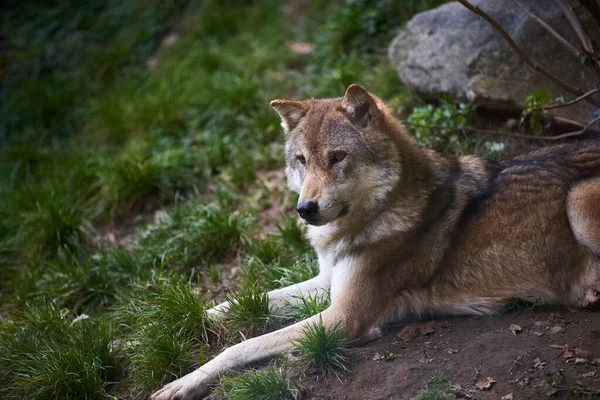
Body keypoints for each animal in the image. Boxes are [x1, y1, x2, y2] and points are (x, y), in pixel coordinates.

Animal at [151, 83, 600, 398]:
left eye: (337, 157)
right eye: (301, 161)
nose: (305, 209)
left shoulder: (343, 318)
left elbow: (243, 347)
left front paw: (184, 382)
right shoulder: (326, 283)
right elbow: (238, 303)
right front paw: (174, 322)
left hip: (577, 201)